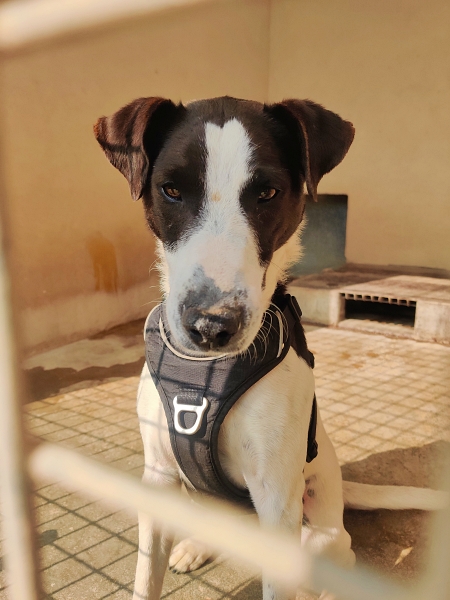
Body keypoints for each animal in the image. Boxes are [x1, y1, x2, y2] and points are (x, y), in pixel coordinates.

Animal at [94, 96, 447, 600]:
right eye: (171, 190)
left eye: (267, 193)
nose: (211, 325)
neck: (206, 373)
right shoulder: (158, 476)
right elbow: (145, 578)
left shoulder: (276, 496)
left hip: (318, 536)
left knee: (340, 560)